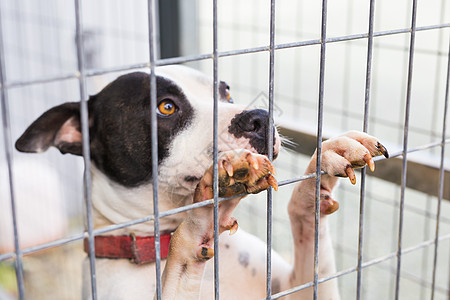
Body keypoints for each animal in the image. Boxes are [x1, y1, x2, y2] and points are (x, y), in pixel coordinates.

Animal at [15, 64, 388, 298]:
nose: (260, 117)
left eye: (226, 93)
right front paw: (203, 216)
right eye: (166, 107)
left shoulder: (303, 287)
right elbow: (182, 259)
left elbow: (309, 234)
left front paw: (324, 163)